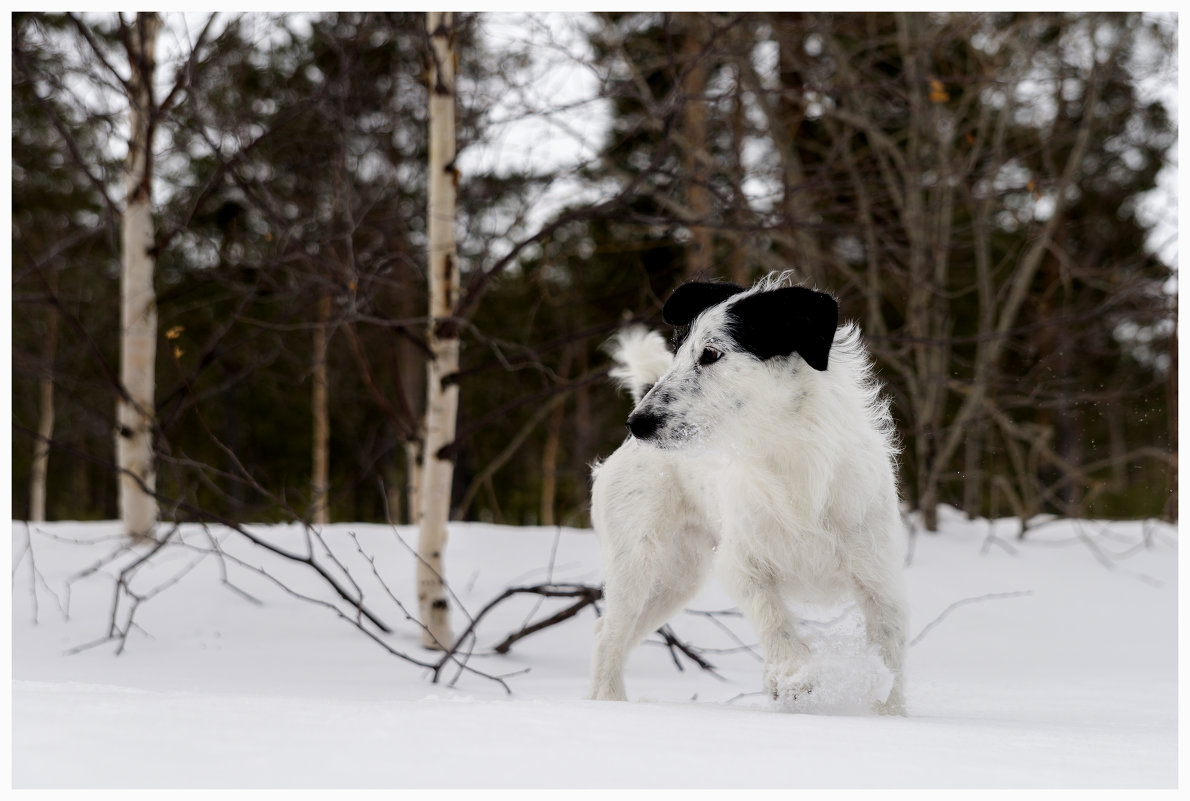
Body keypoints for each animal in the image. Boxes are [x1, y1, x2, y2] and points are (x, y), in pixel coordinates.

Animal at [590, 273, 904, 714]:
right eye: (678, 350)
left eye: (710, 353)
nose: (638, 423)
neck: (790, 461)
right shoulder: (741, 565)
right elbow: (773, 615)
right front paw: (793, 674)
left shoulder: (880, 581)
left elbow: (889, 659)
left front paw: (890, 716)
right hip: (635, 563)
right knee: (608, 636)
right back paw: (608, 704)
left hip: (674, 581)